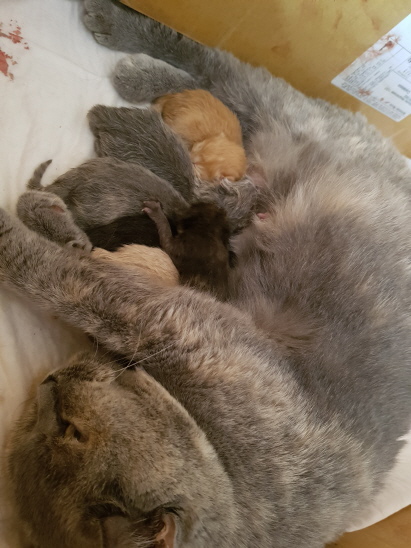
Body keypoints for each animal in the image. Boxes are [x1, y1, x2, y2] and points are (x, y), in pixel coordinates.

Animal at [1, 0, 411, 547]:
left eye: (67, 429)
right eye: (37, 424)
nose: (48, 381)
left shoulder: (170, 316)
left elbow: (58, 276)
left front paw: (22, 231)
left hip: (290, 125)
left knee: (225, 69)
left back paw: (132, 62)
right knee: (219, 66)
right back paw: (132, 51)